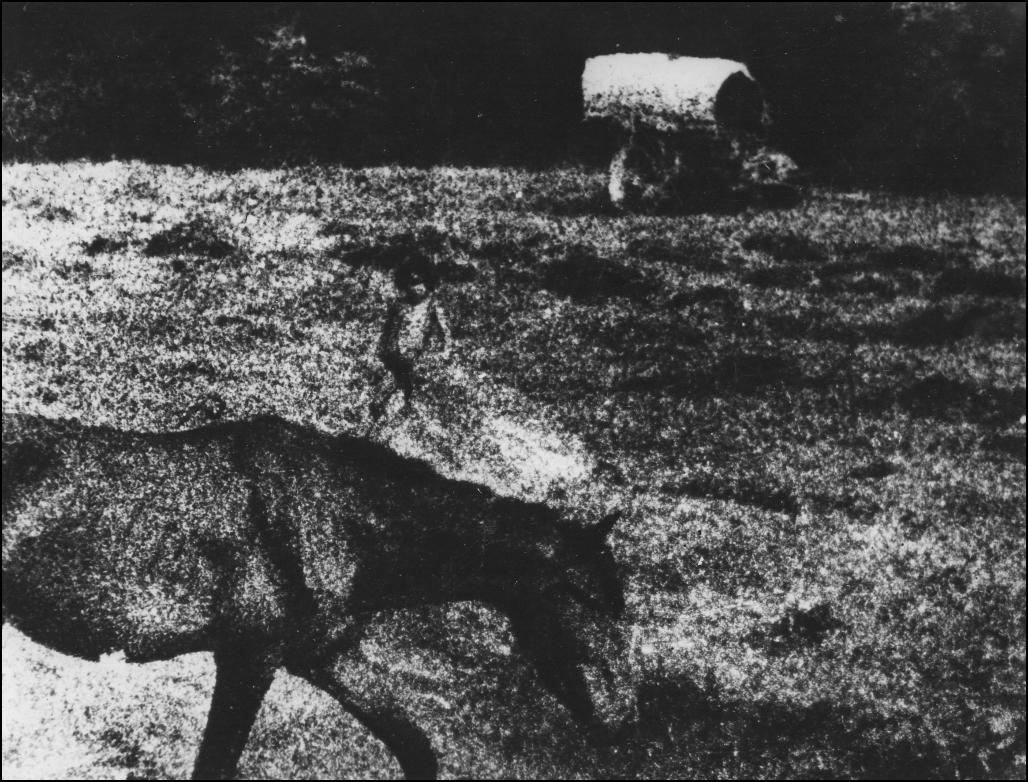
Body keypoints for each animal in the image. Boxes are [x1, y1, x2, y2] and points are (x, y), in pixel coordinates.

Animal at [2, 413, 637, 779]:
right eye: (589, 599)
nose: (623, 721)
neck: (336, 522)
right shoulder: (248, 659)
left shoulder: (326, 655)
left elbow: (417, 748)